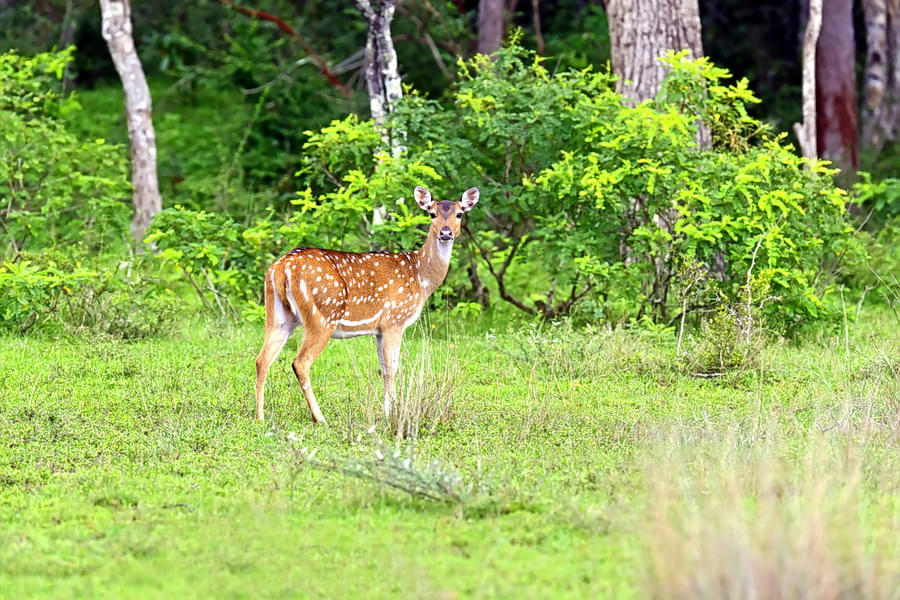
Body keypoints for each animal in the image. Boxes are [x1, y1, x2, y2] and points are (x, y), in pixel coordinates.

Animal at [253, 185, 478, 424]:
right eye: (432, 213)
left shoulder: (379, 330)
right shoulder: (394, 320)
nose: (446, 233)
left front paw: (388, 411)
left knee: (262, 359)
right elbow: (392, 368)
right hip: (322, 315)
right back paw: (319, 417)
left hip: (278, 315)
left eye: (459, 214)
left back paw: (260, 417)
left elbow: (384, 368)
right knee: (300, 362)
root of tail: (281, 269)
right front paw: (392, 414)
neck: (420, 277)